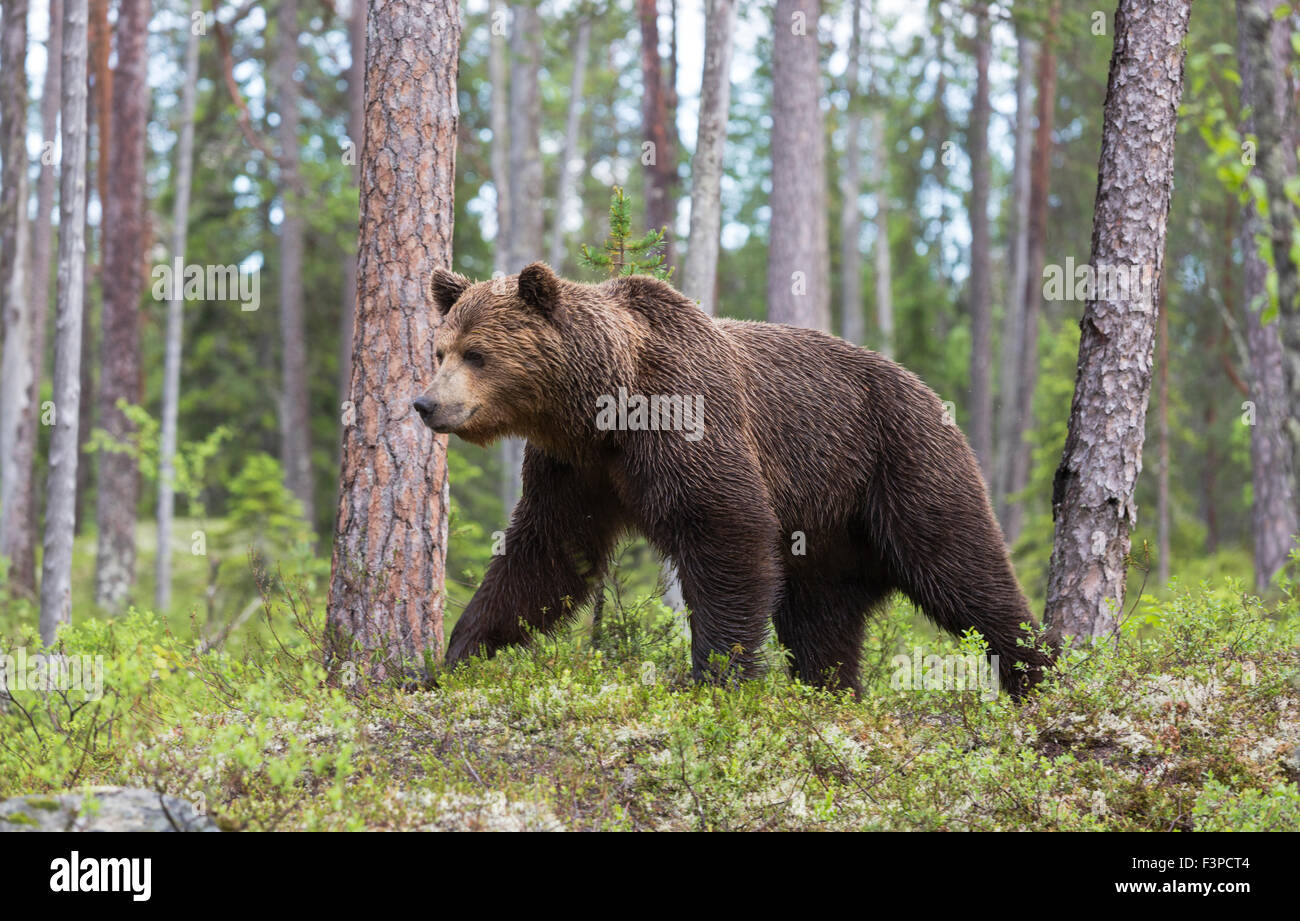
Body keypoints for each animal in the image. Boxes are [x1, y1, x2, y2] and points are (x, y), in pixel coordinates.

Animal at [418, 262, 1053, 698]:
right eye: (440, 350)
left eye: (477, 355)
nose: (426, 404)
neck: (604, 409)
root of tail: (928, 392)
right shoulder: (574, 468)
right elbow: (547, 554)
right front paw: (457, 653)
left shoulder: (684, 417)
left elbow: (727, 530)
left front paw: (716, 677)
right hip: (826, 535)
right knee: (821, 621)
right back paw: (832, 691)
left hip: (902, 463)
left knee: (963, 568)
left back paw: (1041, 676)